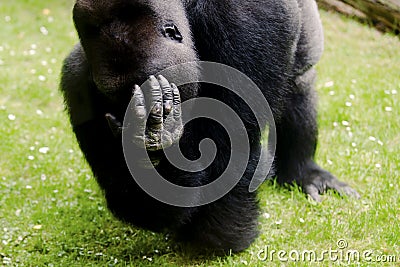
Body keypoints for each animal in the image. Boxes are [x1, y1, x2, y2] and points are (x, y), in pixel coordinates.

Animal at [60, 0, 360, 253]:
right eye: (117, 98)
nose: (136, 121)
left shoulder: (246, 20)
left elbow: (232, 152)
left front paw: (221, 236)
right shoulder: (77, 81)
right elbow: (142, 205)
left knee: (299, 82)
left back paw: (303, 172)